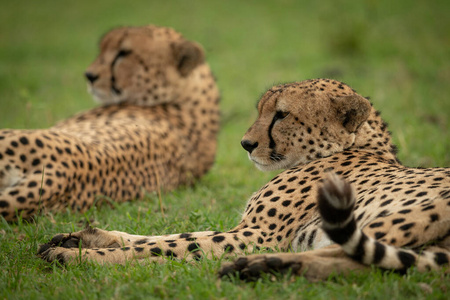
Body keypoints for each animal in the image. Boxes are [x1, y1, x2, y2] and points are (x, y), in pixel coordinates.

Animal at [37, 79, 448, 282]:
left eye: (281, 115)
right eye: (261, 110)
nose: (246, 144)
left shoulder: (257, 233)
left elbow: (172, 246)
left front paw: (79, 255)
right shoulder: (247, 228)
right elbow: (171, 237)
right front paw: (85, 237)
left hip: (395, 215)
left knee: (354, 256)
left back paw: (263, 265)